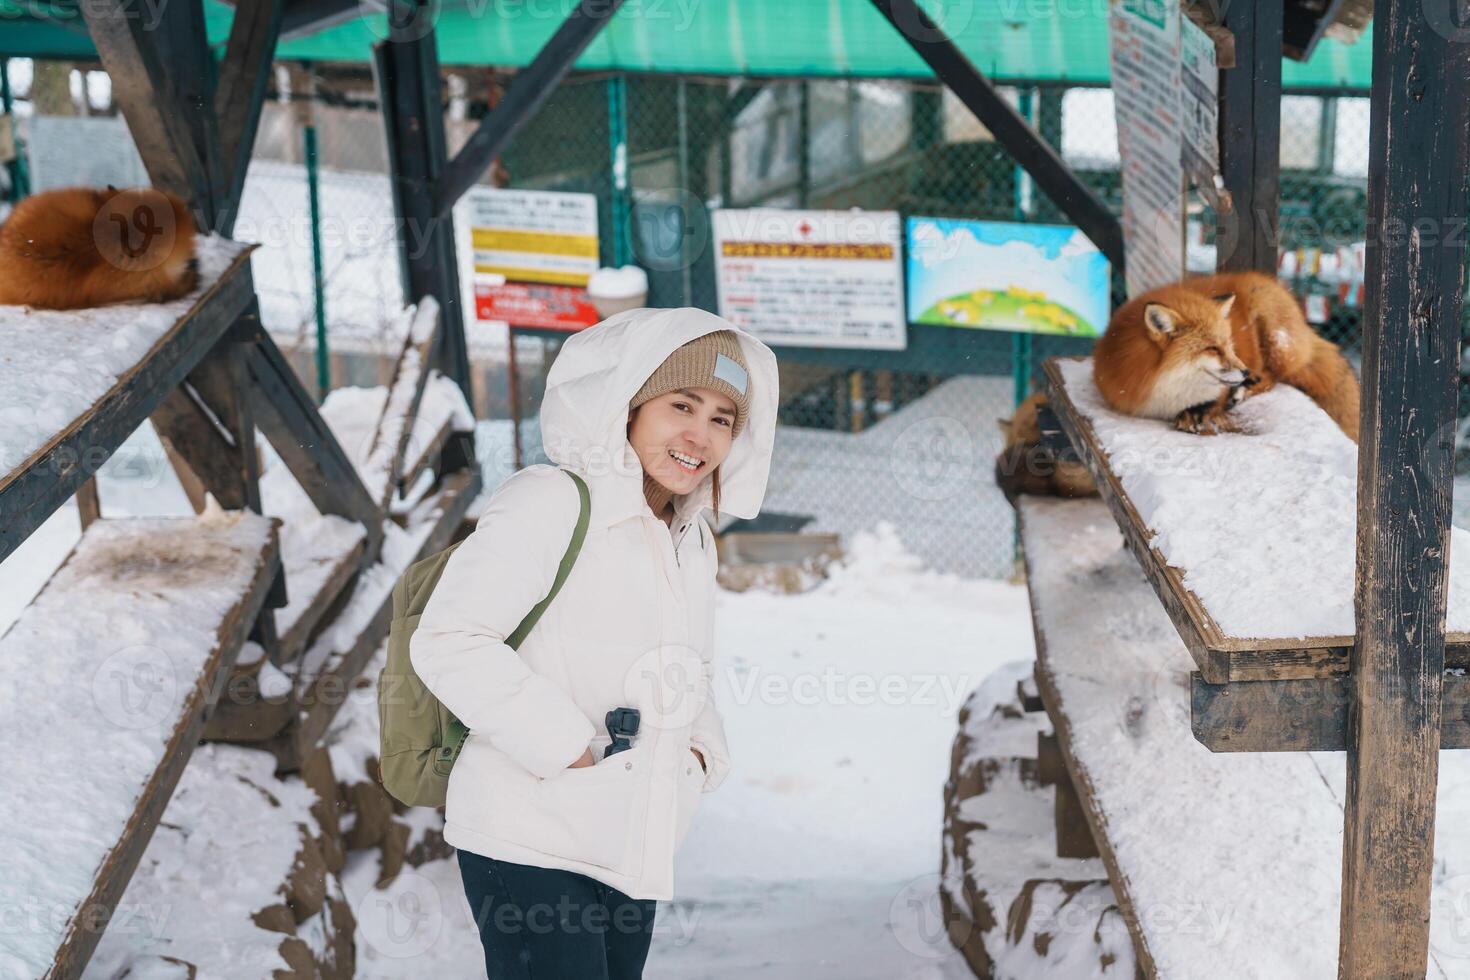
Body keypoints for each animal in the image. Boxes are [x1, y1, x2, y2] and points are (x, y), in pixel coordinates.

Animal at [1099, 274, 1358, 446]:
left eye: (1229, 345)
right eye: (1213, 348)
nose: (1245, 372)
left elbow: (1215, 401)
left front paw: (1199, 412)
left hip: (1274, 335)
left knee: (1274, 376)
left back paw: (1244, 390)